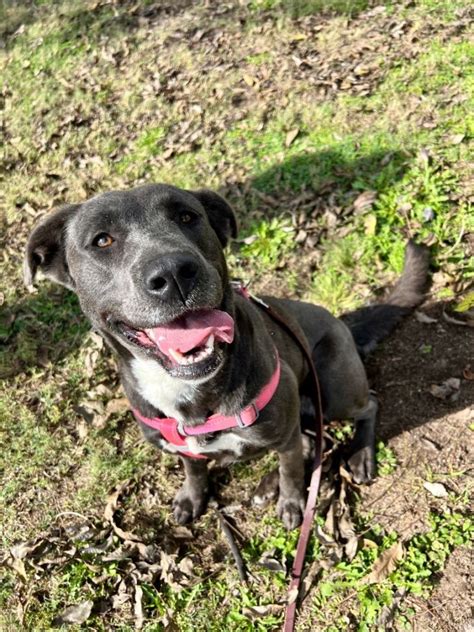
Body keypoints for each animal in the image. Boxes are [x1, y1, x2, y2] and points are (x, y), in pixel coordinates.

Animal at [23, 183, 430, 528]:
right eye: (102, 240)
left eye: (188, 217)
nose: (174, 272)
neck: (187, 392)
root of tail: (343, 321)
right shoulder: (187, 450)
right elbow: (195, 470)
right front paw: (193, 497)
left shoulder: (284, 430)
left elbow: (292, 471)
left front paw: (292, 503)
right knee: (311, 439)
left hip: (333, 389)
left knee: (366, 406)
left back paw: (358, 455)